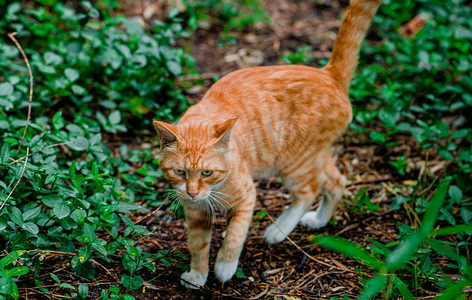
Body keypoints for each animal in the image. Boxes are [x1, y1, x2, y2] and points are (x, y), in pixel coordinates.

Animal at [153, 0, 382, 290]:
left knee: (308, 191)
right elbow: (198, 245)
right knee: (336, 181)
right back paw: (319, 220)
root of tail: (329, 74)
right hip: (314, 155)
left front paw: (225, 266)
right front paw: (197, 275)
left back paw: (279, 231)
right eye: (180, 172)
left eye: (207, 172)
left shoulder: (246, 196)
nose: (193, 192)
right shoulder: (195, 213)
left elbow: (234, 236)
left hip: (293, 162)